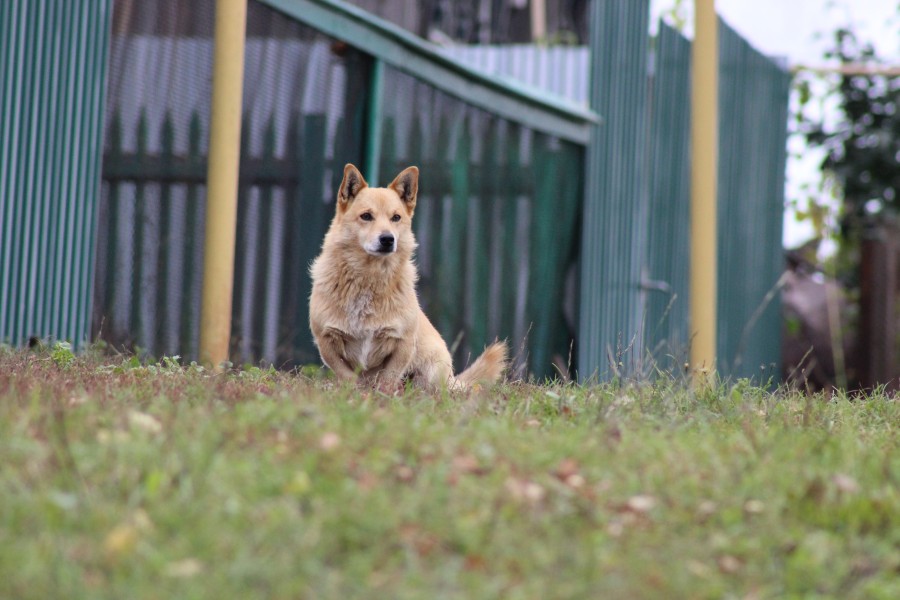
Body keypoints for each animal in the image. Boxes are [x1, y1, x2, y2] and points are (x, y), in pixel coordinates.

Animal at [310, 164, 506, 390]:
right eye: (366, 216)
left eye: (396, 218)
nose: (387, 239)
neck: (369, 279)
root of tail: (452, 379)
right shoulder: (326, 341)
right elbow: (346, 376)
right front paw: (354, 393)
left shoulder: (403, 341)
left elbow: (389, 378)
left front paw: (383, 395)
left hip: (433, 373)